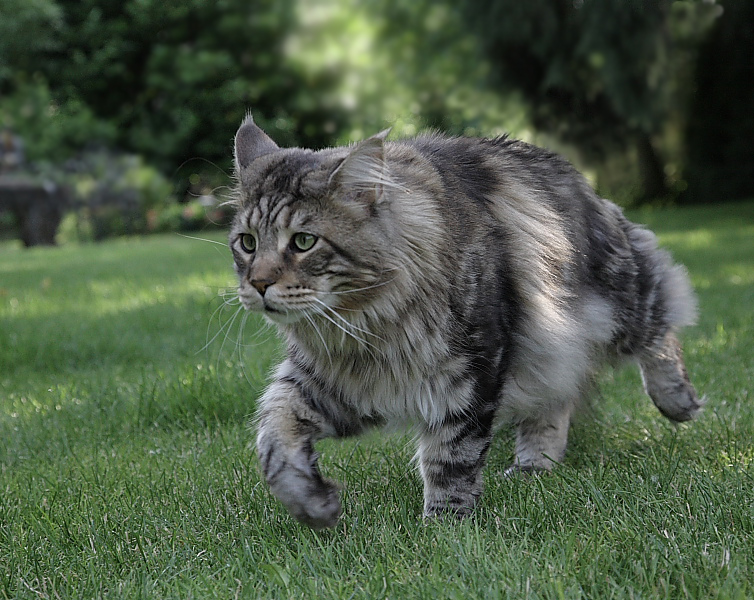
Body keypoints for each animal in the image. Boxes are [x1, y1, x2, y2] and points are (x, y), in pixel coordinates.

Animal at [229, 115, 700, 528]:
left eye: (303, 242)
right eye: (247, 243)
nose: (259, 283)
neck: (365, 324)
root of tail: (576, 177)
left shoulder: (468, 373)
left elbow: (450, 456)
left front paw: (443, 527)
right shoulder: (331, 382)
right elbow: (273, 436)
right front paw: (311, 504)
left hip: (617, 301)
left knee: (662, 310)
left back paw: (677, 401)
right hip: (551, 348)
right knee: (555, 400)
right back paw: (533, 466)